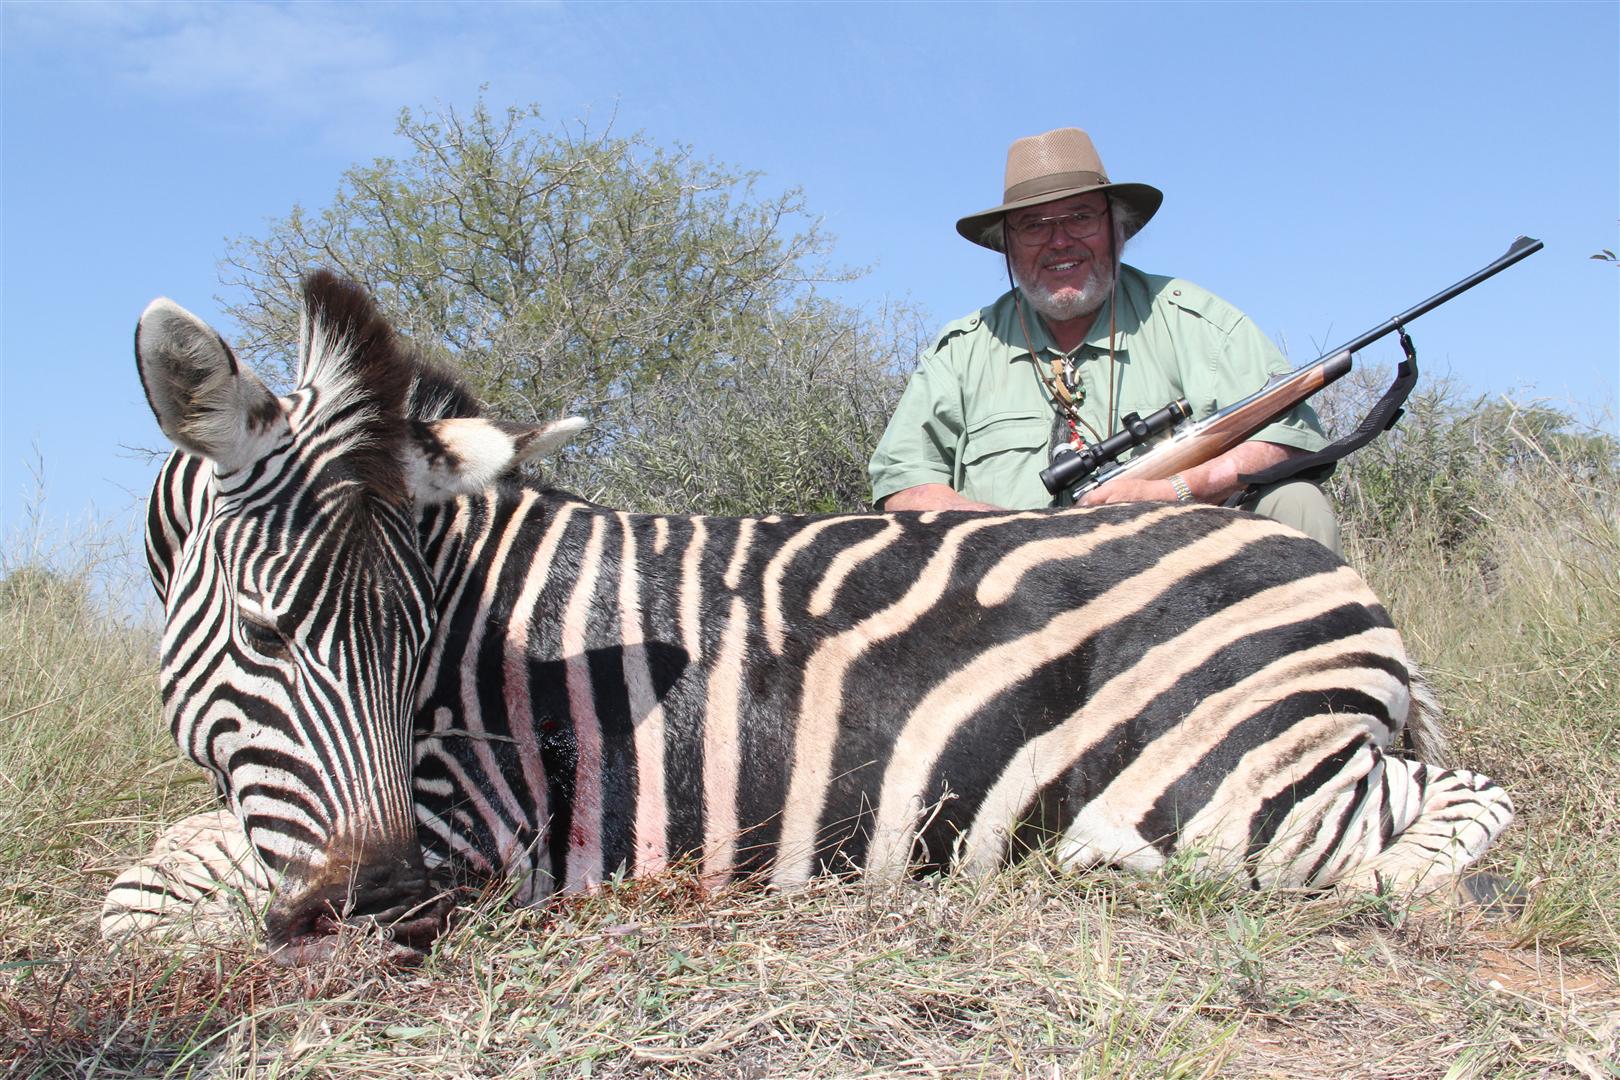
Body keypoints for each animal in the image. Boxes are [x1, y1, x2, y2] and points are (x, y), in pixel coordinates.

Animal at [105, 271, 1513, 963]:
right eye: (267, 636)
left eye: (412, 647)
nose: (384, 908)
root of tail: (1344, 585)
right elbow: (162, 869)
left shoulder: (480, 814)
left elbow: (145, 899)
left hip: (1245, 786)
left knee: (1459, 809)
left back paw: (1400, 894)